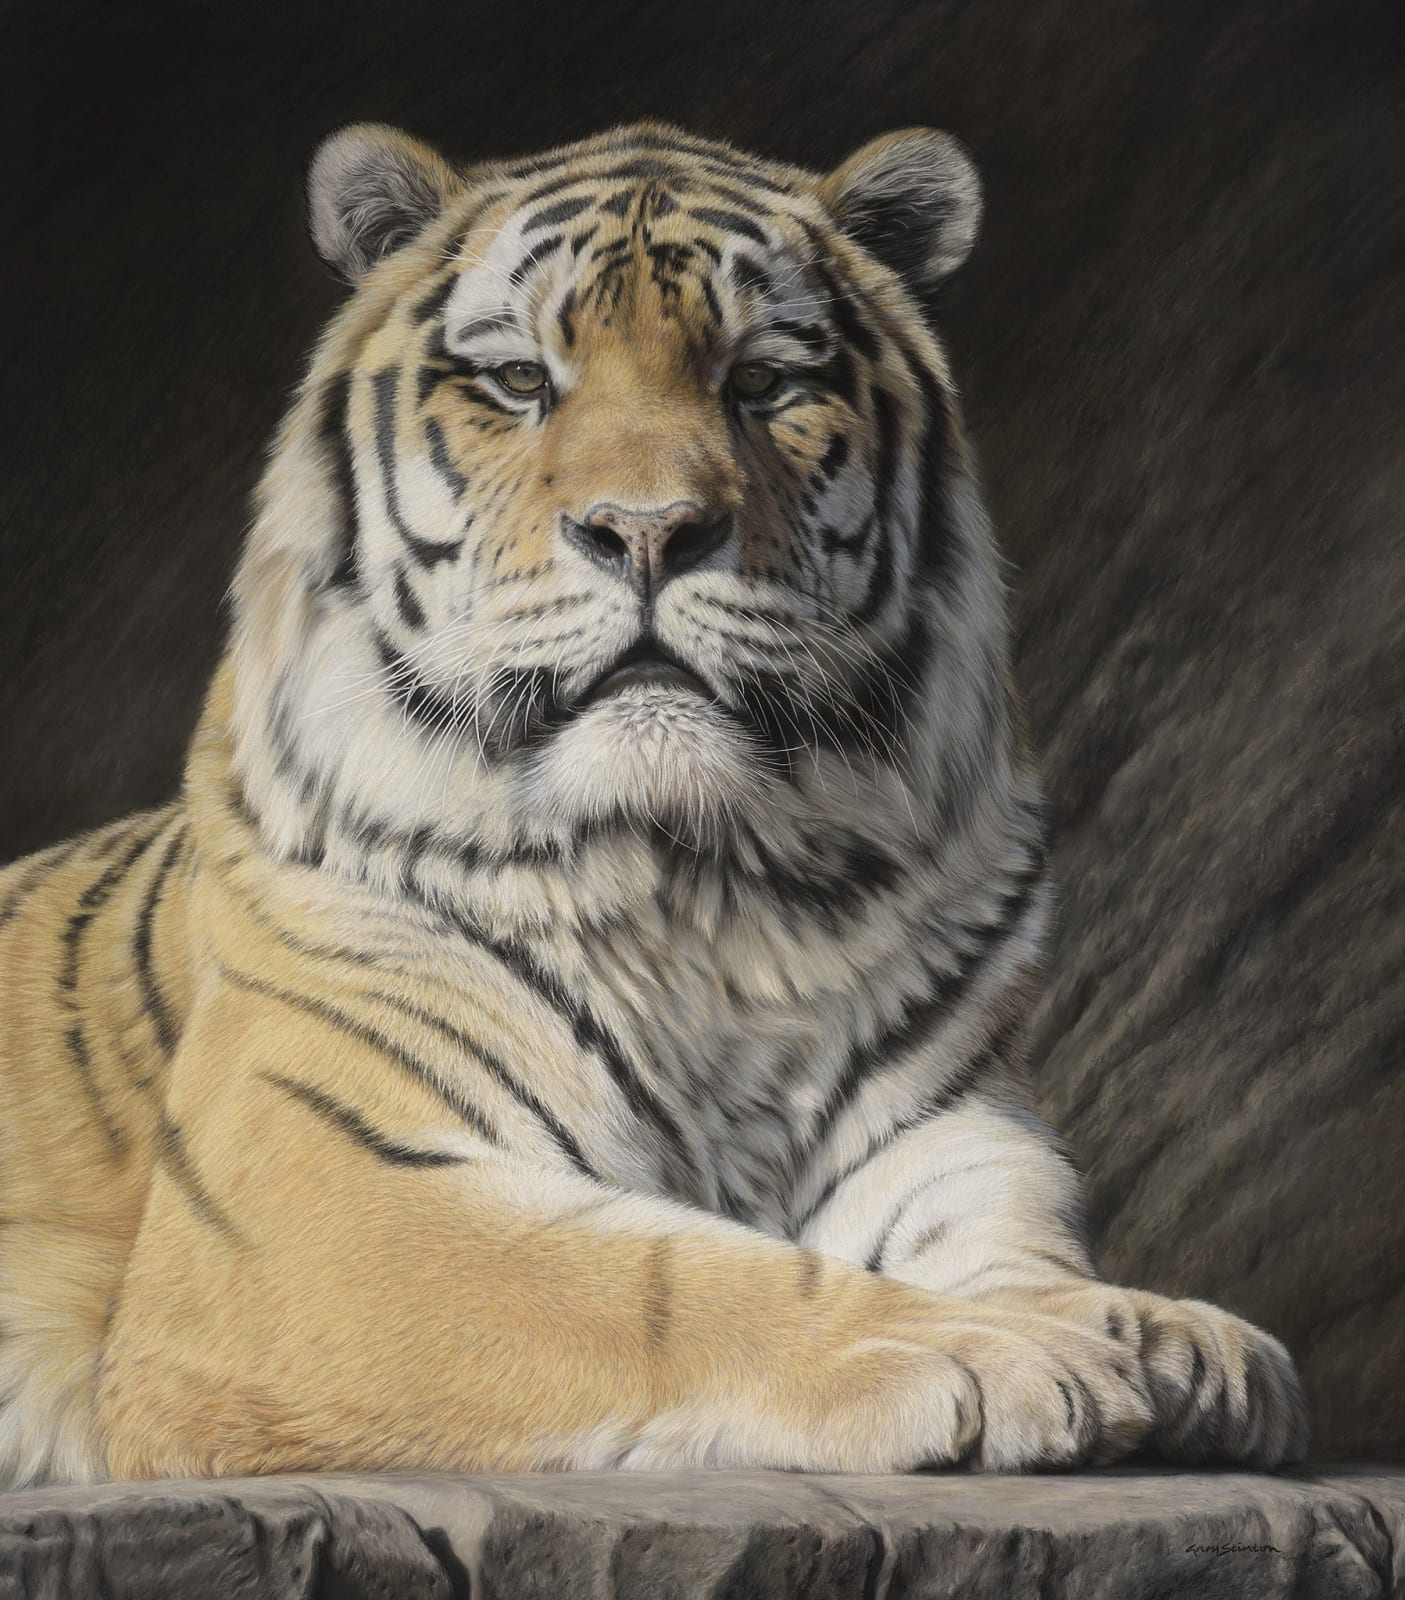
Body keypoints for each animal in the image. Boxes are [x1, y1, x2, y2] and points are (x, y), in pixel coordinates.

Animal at [0, 119, 1309, 1487]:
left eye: (762, 381)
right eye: (519, 381)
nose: (646, 529)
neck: (707, 882)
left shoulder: (951, 1120)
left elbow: (1011, 1244)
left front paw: (1163, 1334)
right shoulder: (321, 1197)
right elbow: (661, 1280)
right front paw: (1001, 1354)